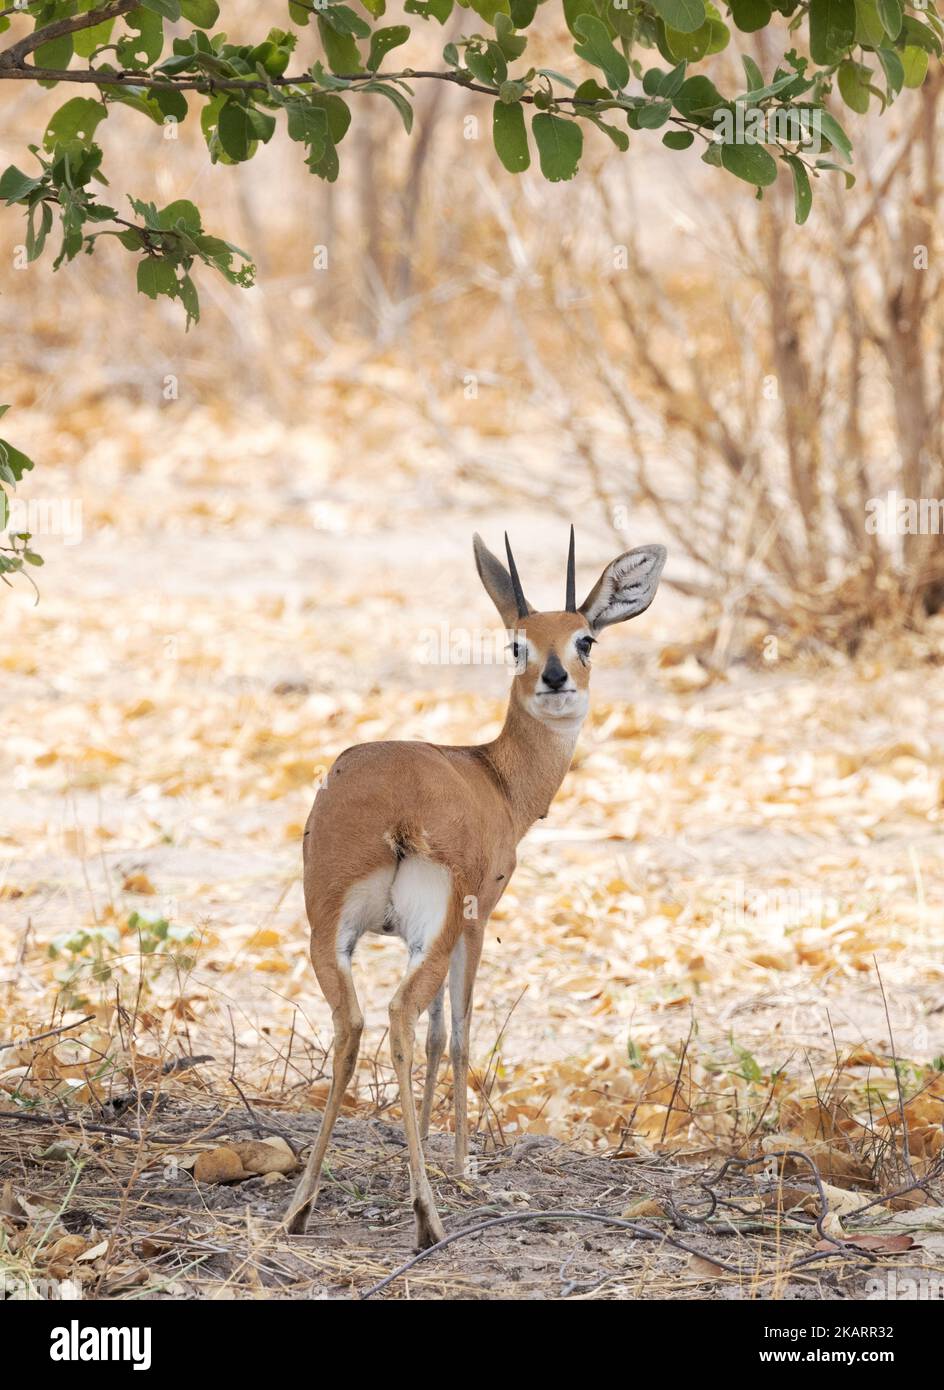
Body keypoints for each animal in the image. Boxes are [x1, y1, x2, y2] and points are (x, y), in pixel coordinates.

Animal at [285, 528, 667, 1251]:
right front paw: (462, 1164)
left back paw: (301, 1207)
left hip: (332, 932)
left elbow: (437, 1035)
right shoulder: (477, 919)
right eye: (519, 642)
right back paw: (426, 1217)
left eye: (584, 639)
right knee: (400, 1017)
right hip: (438, 929)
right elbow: (457, 1034)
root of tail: (393, 808)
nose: (555, 677)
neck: (495, 777)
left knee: (355, 1024)